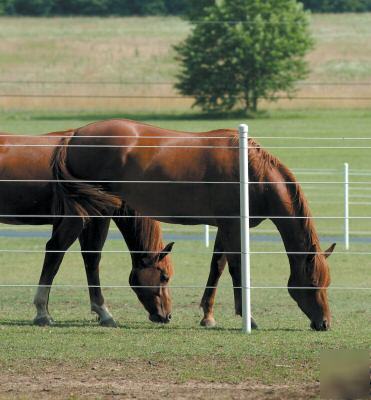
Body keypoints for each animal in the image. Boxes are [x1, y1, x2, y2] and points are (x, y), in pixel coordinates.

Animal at [0, 133, 174, 326]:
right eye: (164, 276)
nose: (167, 316)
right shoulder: (81, 220)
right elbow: (62, 254)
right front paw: (43, 312)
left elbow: (85, 258)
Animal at [51, 119, 338, 332]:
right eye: (312, 283)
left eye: (327, 283)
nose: (324, 323)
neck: (252, 173)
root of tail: (75, 135)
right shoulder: (233, 227)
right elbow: (236, 269)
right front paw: (248, 317)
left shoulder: (225, 226)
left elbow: (217, 267)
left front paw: (208, 316)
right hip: (92, 212)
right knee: (76, 253)